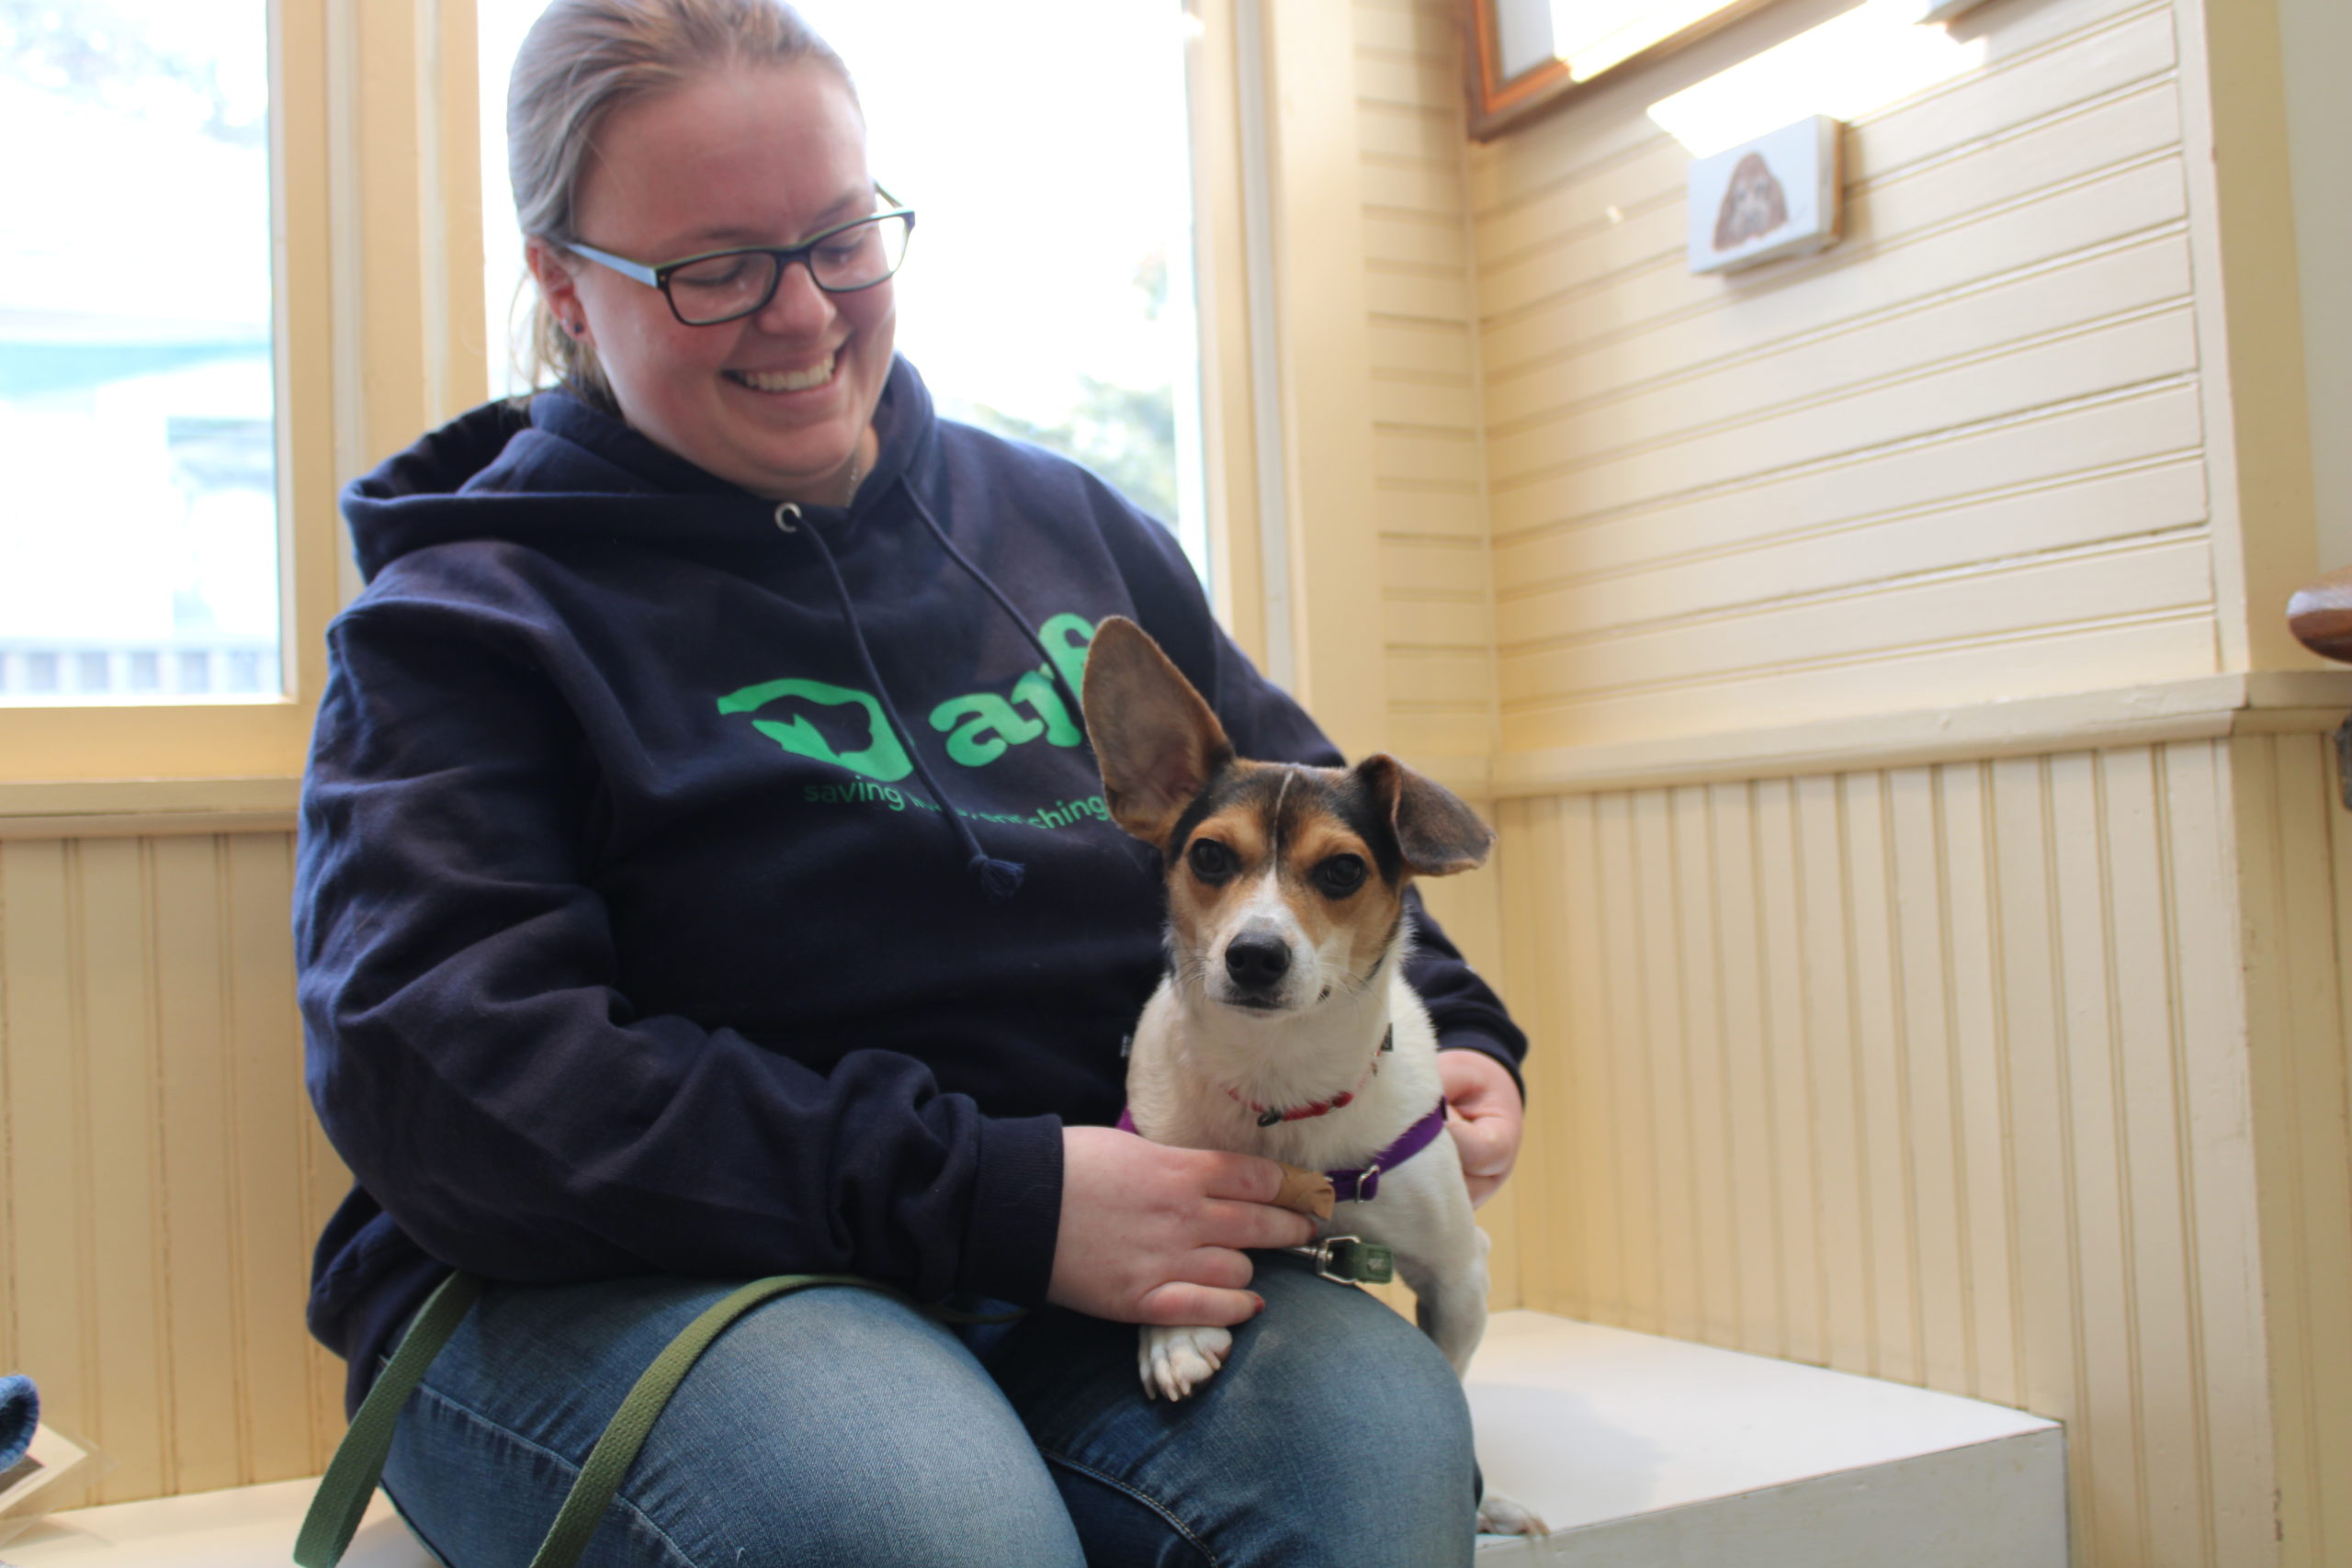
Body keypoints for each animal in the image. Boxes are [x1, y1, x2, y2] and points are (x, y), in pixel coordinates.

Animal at [1077, 615, 1543, 1541]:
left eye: (1342, 871)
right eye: (1209, 855)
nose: (1255, 954)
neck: (1279, 1091)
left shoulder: (1460, 1272)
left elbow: (1451, 1377)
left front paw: (1479, 1492)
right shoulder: (1163, 1166)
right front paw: (1173, 1334)